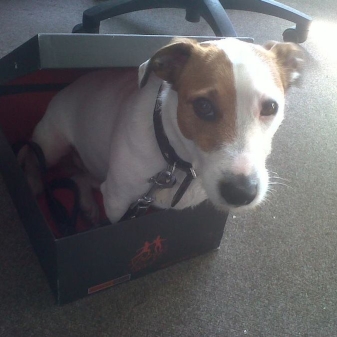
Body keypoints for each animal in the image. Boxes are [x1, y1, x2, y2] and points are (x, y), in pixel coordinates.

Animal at [17, 37, 302, 223]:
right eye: (203, 106)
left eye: (271, 107)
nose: (241, 193)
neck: (176, 163)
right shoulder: (117, 203)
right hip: (51, 145)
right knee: (32, 157)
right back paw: (33, 182)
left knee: (80, 177)